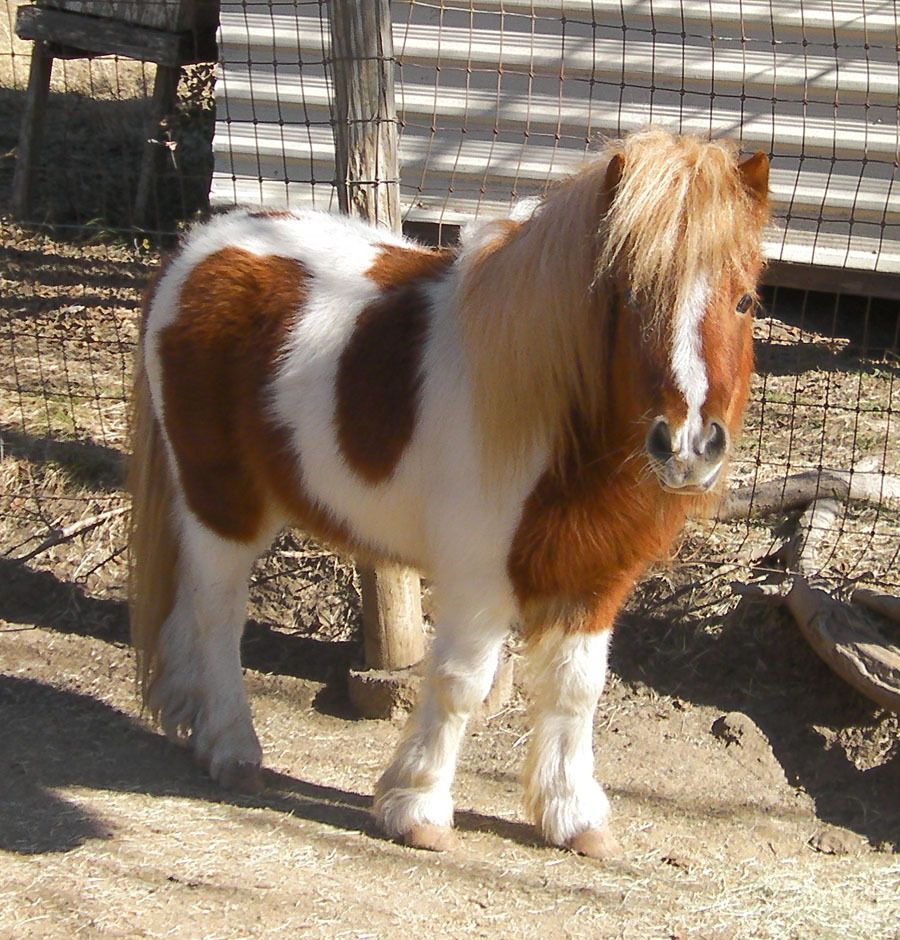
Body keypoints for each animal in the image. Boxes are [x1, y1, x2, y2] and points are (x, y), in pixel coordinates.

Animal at [129, 129, 769, 858]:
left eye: (746, 301)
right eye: (630, 297)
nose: (687, 444)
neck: (557, 418)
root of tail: (198, 248)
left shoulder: (594, 580)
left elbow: (577, 690)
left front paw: (573, 816)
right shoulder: (478, 578)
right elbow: (463, 683)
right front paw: (417, 808)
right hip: (223, 506)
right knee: (218, 617)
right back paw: (231, 748)